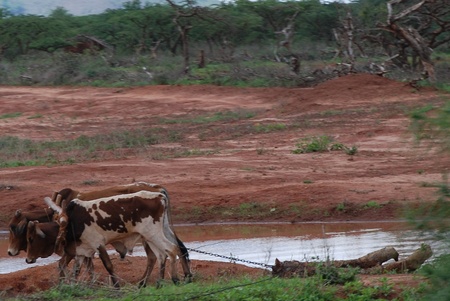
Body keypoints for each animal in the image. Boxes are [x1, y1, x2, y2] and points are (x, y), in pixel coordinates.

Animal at [45, 190, 192, 286]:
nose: (60, 287)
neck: (73, 220)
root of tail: (159, 196)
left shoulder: (98, 244)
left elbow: (108, 265)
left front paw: (117, 287)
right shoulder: (81, 250)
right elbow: (75, 269)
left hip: (153, 234)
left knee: (171, 249)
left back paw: (175, 279)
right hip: (157, 233)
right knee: (167, 253)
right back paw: (162, 282)